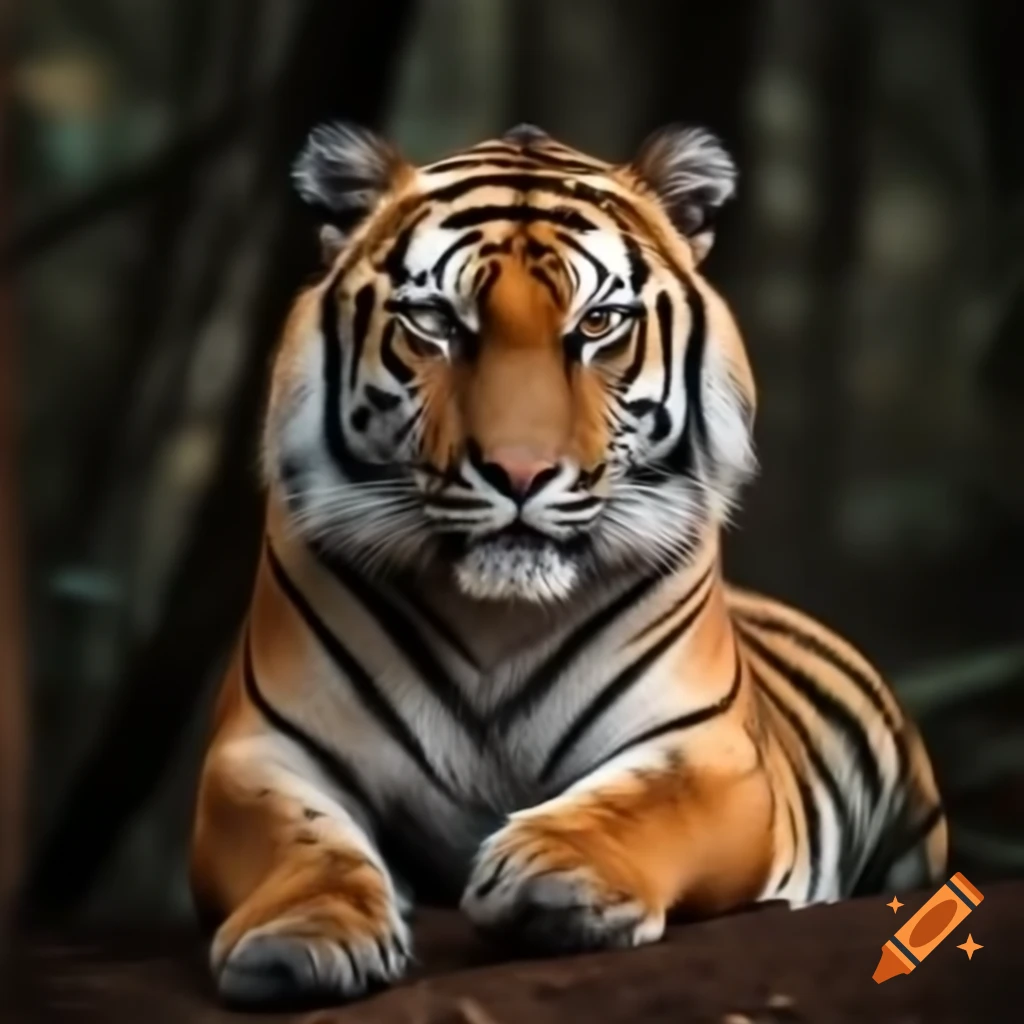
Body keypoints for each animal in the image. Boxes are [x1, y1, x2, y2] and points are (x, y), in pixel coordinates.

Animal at [189, 121, 947, 1007]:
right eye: (437, 322)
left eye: (598, 324)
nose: (519, 474)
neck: (494, 616)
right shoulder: (259, 752)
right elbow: (303, 839)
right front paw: (300, 937)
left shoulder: (709, 749)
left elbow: (645, 801)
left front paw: (554, 877)